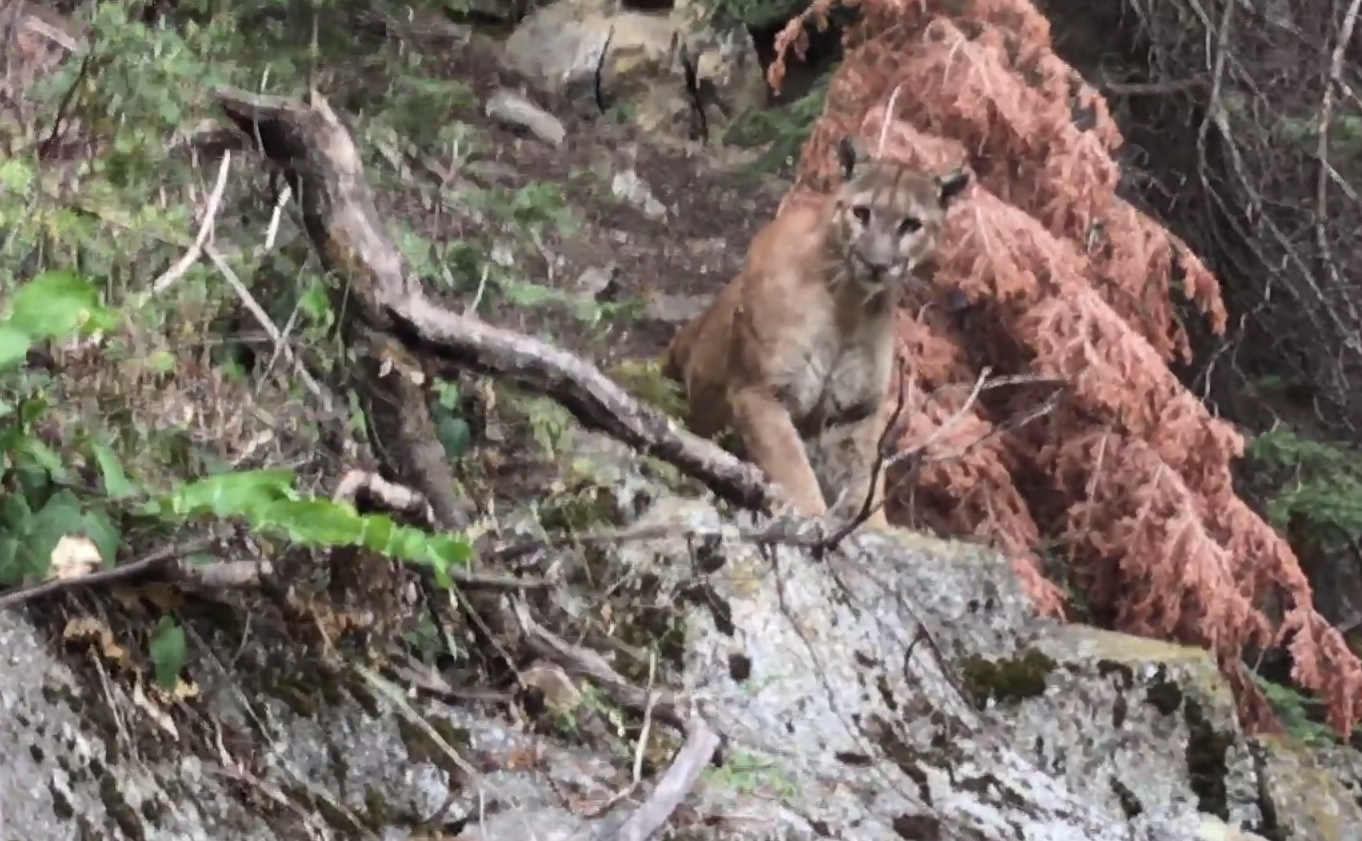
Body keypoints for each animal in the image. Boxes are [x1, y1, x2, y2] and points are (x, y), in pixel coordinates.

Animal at [663, 136, 971, 528]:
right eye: (861, 213)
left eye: (911, 224)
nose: (877, 264)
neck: (849, 307)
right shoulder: (760, 391)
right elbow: (793, 467)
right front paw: (812, 520)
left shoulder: (855, 415)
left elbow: (863, 485)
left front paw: (873, 530)